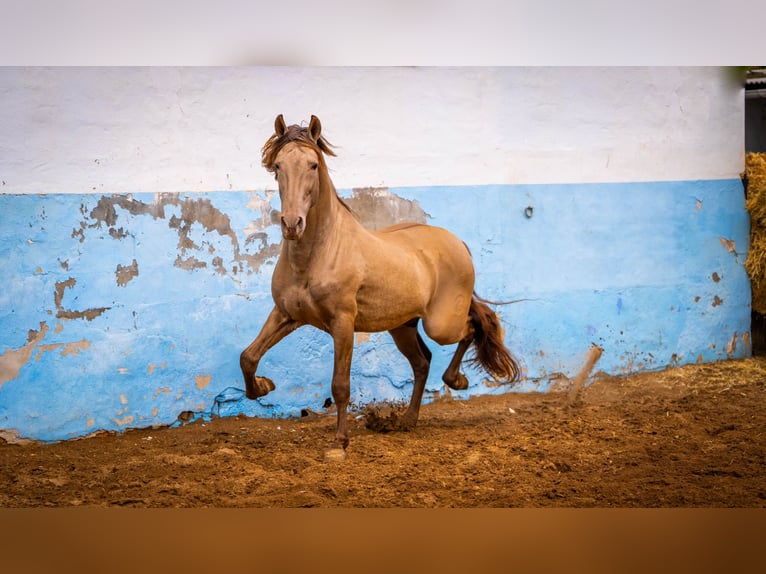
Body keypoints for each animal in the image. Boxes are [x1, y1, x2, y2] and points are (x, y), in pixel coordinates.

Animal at [242, 115, 520, 462]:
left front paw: (339, 445)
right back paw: (407, 419)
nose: (292, 224)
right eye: (278, 165)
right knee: (422, 362)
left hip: (440, 324)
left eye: (313, 165)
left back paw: (456, 380)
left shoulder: (343, 323)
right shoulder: (286, 315)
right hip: (402, 326)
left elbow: (340, 385)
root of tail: (458, 243)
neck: (317, 254)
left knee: (470, 330)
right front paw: (263, 386)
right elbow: (249, 356)